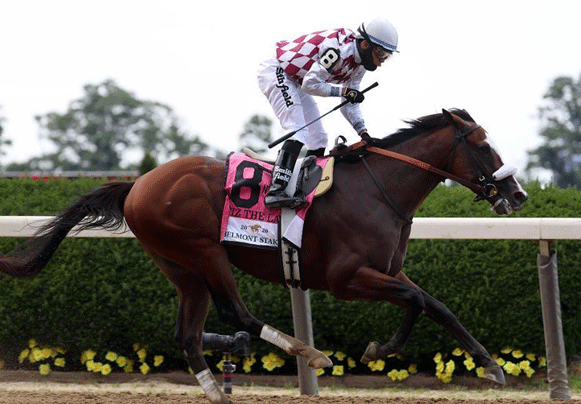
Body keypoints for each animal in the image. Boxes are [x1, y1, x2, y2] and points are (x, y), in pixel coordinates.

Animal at [0, 109, 524, 402]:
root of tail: (138, 184)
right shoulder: (348, 278)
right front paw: (380, 349)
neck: (378, 190)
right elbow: (415, 304)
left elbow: (438, 306)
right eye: (483, 145)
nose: (516, 194)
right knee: (237, 313)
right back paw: (308, 352)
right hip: (204, 251)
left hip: (179, 266)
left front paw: (492, 366)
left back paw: (219, 390)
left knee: (187, 334)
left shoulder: (389, 270)